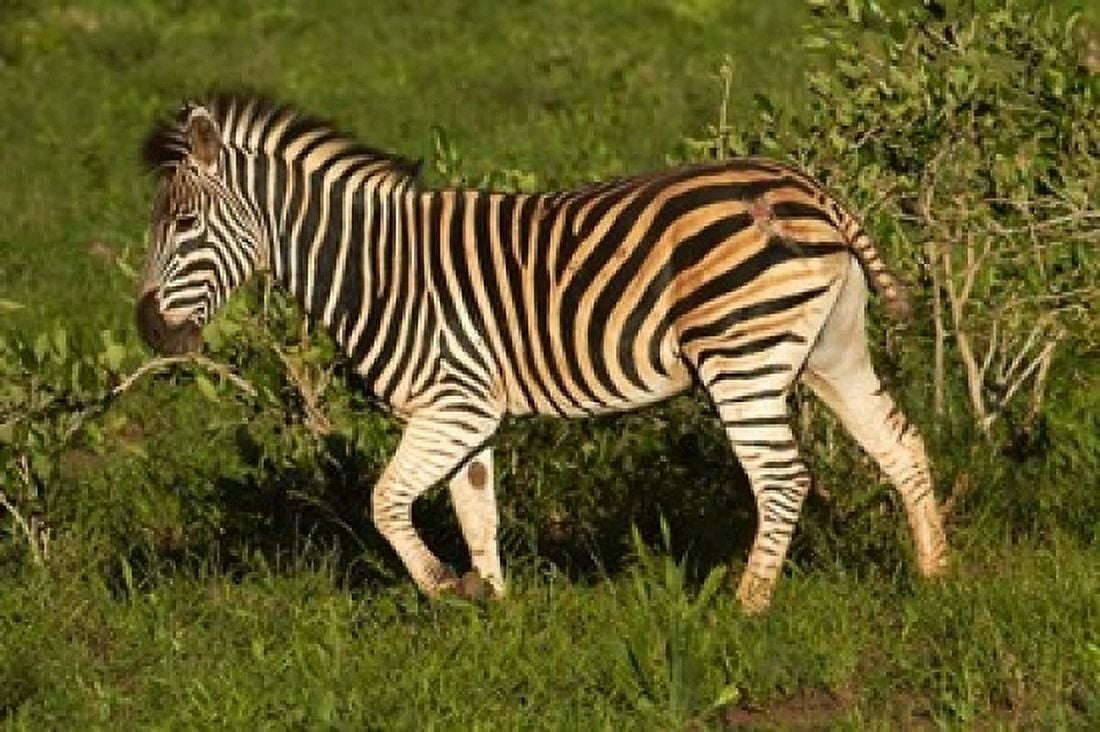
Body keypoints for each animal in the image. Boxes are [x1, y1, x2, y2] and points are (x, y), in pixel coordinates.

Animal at [136, 96, 948, 613]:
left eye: (184, 225)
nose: (149, 332)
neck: (378, 266)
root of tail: (810, 188)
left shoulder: (455, 405)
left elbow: (385, 502)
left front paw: (446, 589)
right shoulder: (470, 414)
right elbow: (476, 514)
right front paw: (496, 614)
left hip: (743, 354)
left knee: (782, 480)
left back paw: (746, 610)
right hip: (830, 351)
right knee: (902, 444)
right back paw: (937, 579)